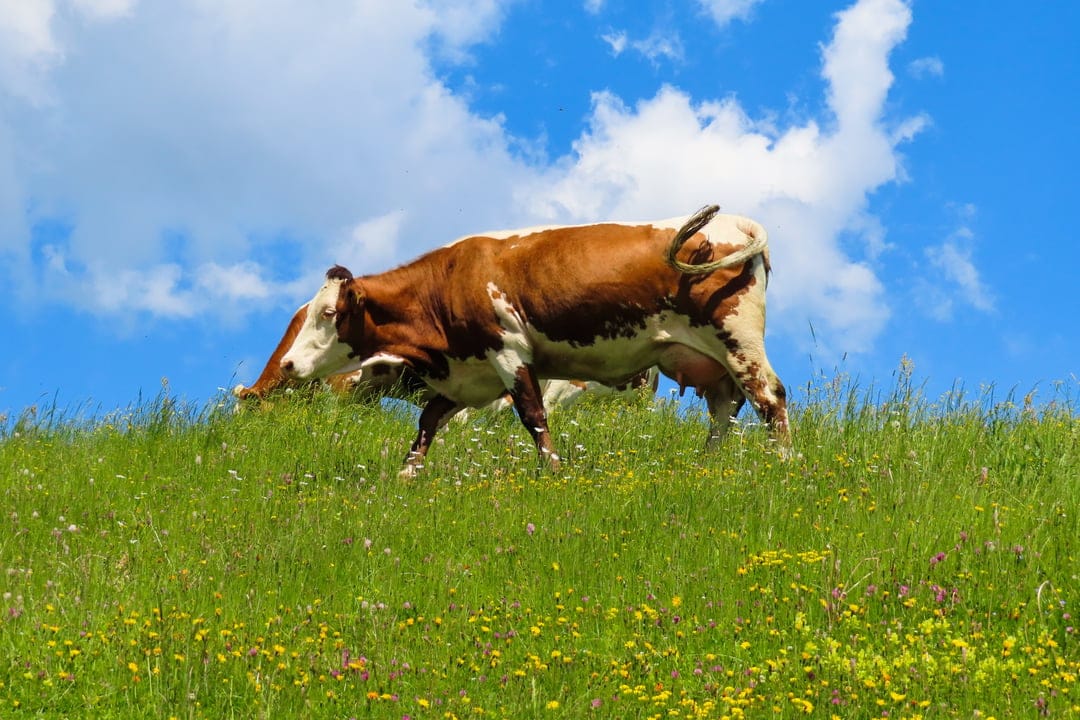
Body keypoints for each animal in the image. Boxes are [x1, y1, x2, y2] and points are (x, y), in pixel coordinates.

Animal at [280, 204, 790, 477]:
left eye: (328, 314)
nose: (287, 364)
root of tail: (737, 222)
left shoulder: (509, 352)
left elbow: (532, 415)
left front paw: (553, 470)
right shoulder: (470, 373)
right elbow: (428, 421)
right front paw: (406, 475)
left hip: (737, 339)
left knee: (770, 398)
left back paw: (785, 465)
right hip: (713, 362)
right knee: (725, 410)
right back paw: (706, 467)